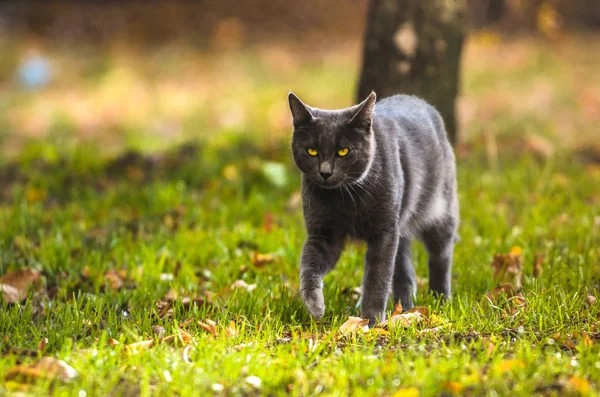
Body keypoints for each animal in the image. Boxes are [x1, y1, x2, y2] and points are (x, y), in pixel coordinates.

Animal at [288, 91, 458, 324]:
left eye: (343, 151)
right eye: (312, 150)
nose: (325, 172)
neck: (346, 199)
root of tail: (417, 99)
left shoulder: (384, 232)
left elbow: (377, 278)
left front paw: (371, 321)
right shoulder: (323, 233)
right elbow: (309, 264)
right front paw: (315, 305)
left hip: (439, 210)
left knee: (440, 256)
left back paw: (440, 299)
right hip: (400, 226)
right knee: (404, 269)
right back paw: (404, 308)